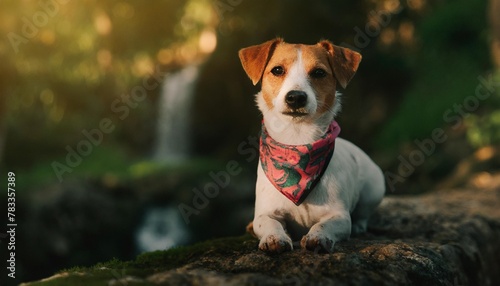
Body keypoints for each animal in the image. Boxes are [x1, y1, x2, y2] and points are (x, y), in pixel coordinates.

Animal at [238, 37, 386, 252]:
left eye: (318, 72)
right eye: (277, 70)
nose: (296, 97)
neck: (297, 141)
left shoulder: (339, 216)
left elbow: (325, 224)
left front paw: (318, 237)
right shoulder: (266, 213)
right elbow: (268, 223)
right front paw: (274, 238)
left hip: (374, 187)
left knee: (363, 213)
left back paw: (360, 225)